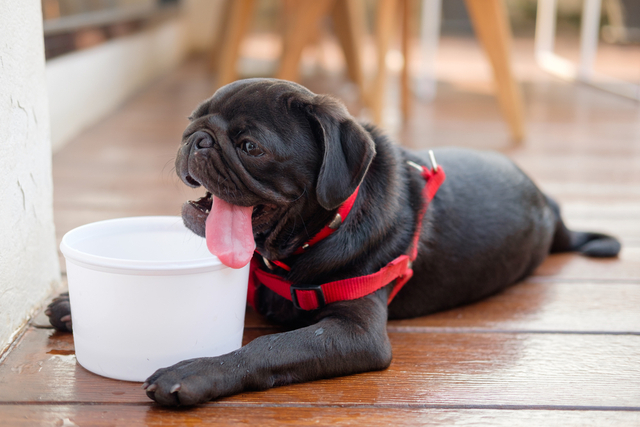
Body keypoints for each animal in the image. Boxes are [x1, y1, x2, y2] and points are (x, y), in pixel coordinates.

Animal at [47, 78, 624, 406]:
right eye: (192, 121)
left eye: (250, 146)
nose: (197, 139)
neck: (300, 245)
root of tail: (550, 206)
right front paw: (75, 305)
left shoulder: (355, 332)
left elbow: (269, 347)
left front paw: (197, 371)